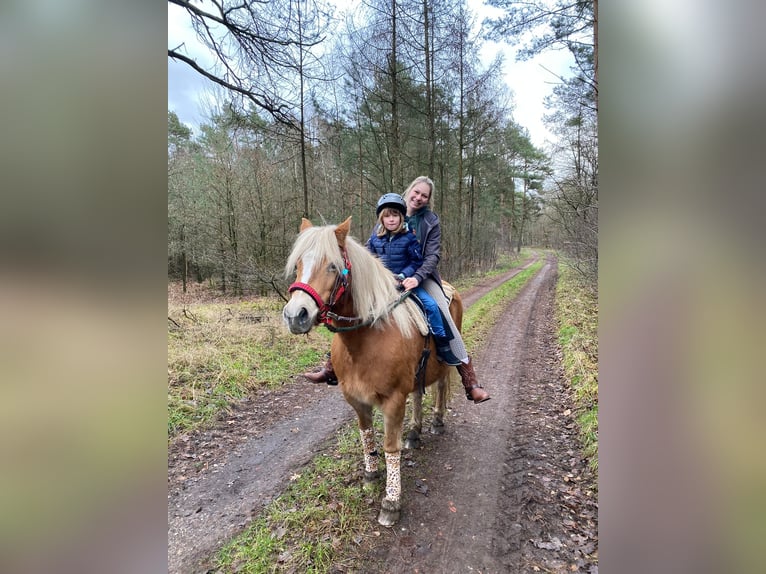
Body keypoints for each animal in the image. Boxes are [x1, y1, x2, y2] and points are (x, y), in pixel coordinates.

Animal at [282, 218, 462, 528]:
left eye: (332, 266)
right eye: (299, 263)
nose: (296, 315)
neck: (366, 340)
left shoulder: (393, 400)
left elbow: (391, 447)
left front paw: (391, 501)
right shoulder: (357, 400)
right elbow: (366, 435)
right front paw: (370, 475)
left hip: (444, 365)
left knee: (440, 387)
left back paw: (437, 422)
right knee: (418, 395)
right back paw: (415, 432)